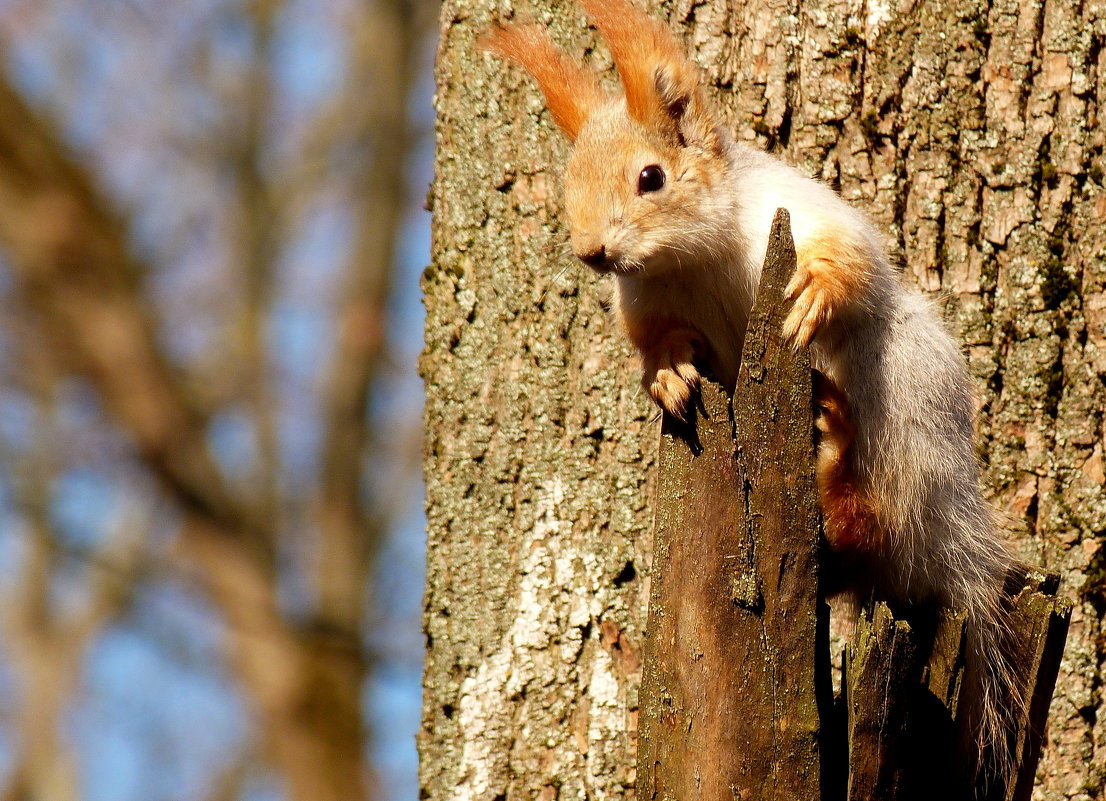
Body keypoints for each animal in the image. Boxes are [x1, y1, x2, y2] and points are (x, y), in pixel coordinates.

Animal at [480, 0, 1021, 783]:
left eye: (651, 177)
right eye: (568, 182)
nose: (590, 252)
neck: (692, 254)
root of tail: (955, 532)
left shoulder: (794, 209)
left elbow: (849, 258)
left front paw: (815, 290)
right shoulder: (647, 305)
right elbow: (658, 345)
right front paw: (669, 376)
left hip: (906, 401)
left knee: (878, 513)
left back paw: (837, 444)